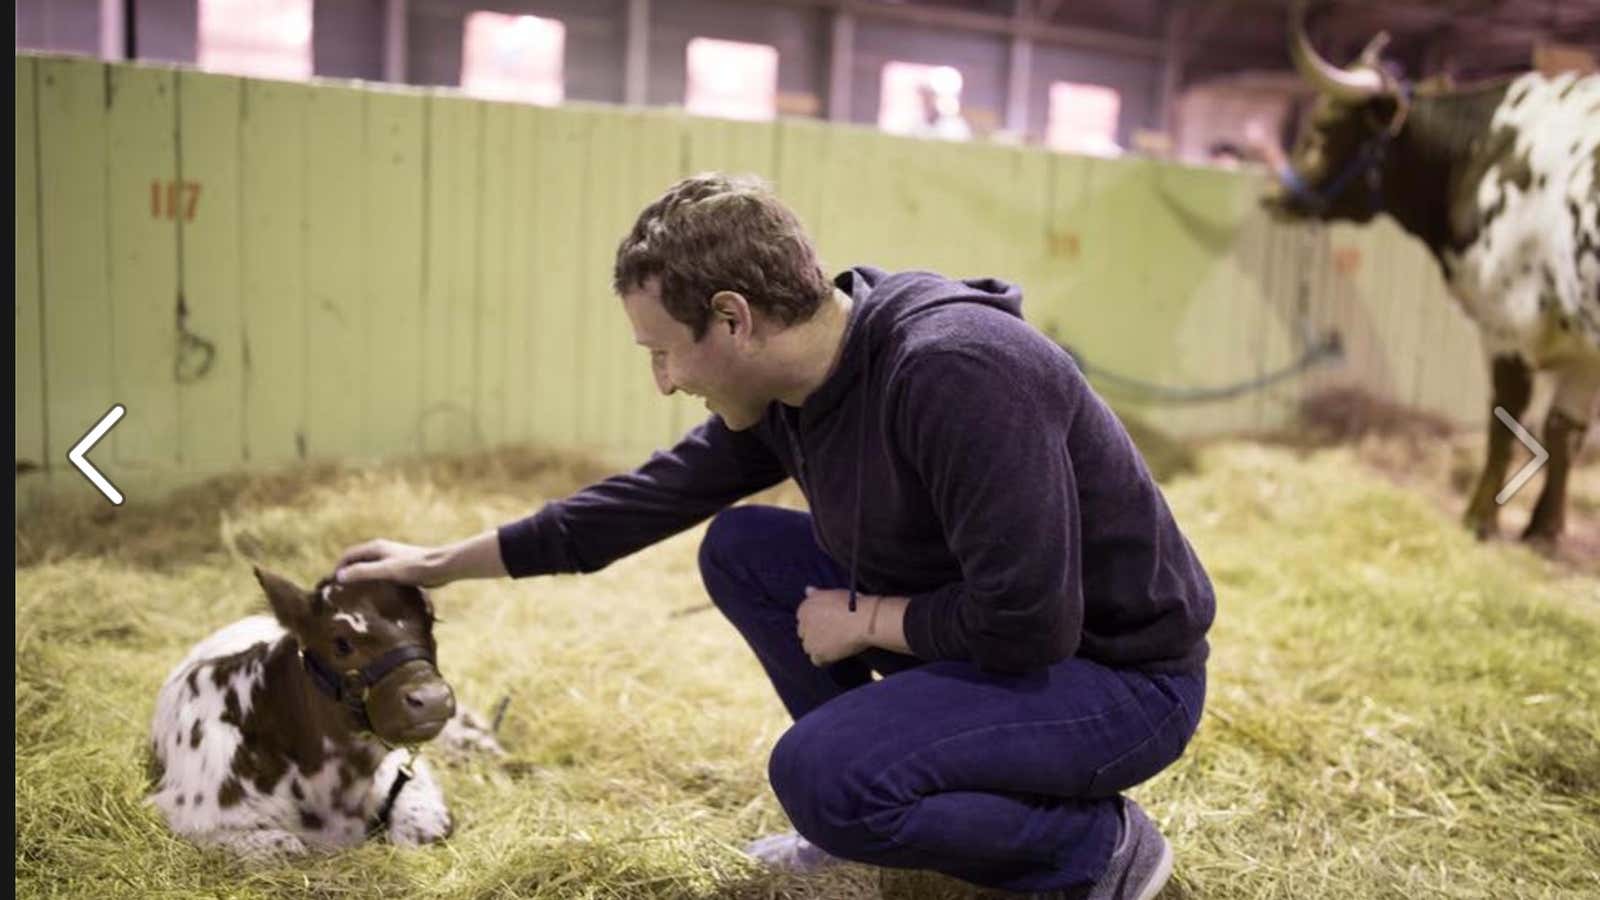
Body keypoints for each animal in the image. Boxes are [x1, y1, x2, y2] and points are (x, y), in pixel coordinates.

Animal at [149, 566, 502, 851]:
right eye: (341, 642)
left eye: (430, 621)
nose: (432, 698)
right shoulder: (189, 814)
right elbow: (288, 849)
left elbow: (421, 828)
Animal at [1267, 0, 1593, 547]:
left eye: (1325, 124)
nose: (1272, 195)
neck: (1486, 148)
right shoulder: (1586, 347)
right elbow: (1563, 428)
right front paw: (1543, 530)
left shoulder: (1508, 320)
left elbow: (1507, 420)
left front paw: (1479, 518)